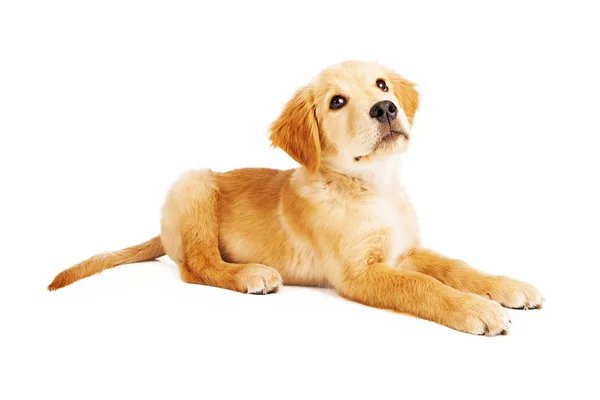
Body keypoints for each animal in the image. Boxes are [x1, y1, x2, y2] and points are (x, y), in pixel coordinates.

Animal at [47, 60, 544, 334]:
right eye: (337, 102)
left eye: (382, 85)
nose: (386, 108)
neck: (371, 184)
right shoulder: (359, 273)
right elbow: (423, 286)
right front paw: (475, 309)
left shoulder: (406, 250)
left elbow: (455, 267)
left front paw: (505, 287)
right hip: (193, 183)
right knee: (196, 266)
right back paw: (250, 274)